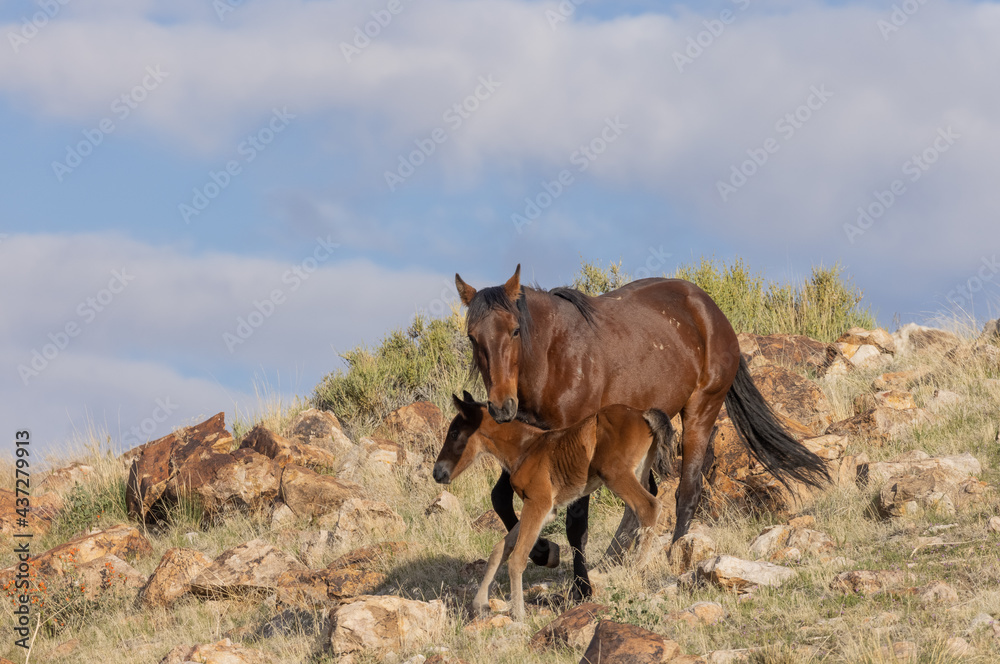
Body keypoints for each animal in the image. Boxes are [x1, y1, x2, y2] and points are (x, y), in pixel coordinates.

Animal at [434, 392, 674, 620]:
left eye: (454, 433)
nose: (438, 473)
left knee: (648, 506)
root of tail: (642, 414)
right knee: (635, 512)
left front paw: (518, 614)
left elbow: (517, 557)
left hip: (615, 474)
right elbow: (501, 548)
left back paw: (635, 570)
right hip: (637, 471)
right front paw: (480, 604)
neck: (526, 449)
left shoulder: (537, 503)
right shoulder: (546, 511)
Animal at [454, 264, 829, 599]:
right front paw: (544, 551)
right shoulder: (530, 446)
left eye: (515, 330)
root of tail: (710, 309)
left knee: (686, 492)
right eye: (473, 337)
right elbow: (501, 499)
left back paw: (676, 556)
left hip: (700, 411)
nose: (502, 406)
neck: (552, 359)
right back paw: (616, 558)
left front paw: (581, 588)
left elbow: (576, 523)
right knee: (644, 496)